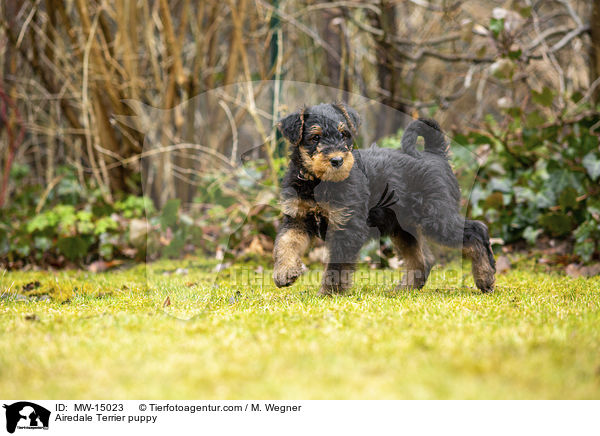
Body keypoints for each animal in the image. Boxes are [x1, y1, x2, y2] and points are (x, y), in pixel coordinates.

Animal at [274, 102, 496, 294]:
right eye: (315, 138)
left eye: (344, 134)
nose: (337, 161)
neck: (317, 183)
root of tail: (435, 154)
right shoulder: (297, 219)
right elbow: (285, 243)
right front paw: (284, 273)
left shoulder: (347, 227)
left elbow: (336, 266)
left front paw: (329, 294)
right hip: (403, 227)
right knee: (423, 259)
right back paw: (405, 289)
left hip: (437, 218)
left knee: (477, 230)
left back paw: (485, 278)